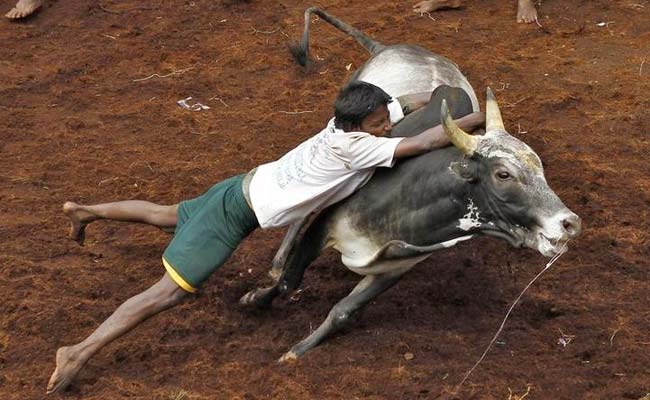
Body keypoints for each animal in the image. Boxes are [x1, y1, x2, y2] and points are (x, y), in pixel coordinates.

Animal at [239, 7, 584, 360]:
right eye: (503, 174)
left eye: (539, 168)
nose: (570, 223)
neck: (405, 206)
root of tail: (388, 47)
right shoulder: (324, 228)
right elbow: (289, 281)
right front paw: (257, 300)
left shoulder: (396, 268)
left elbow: (343, 311)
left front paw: (300, 349)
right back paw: (277, 261)